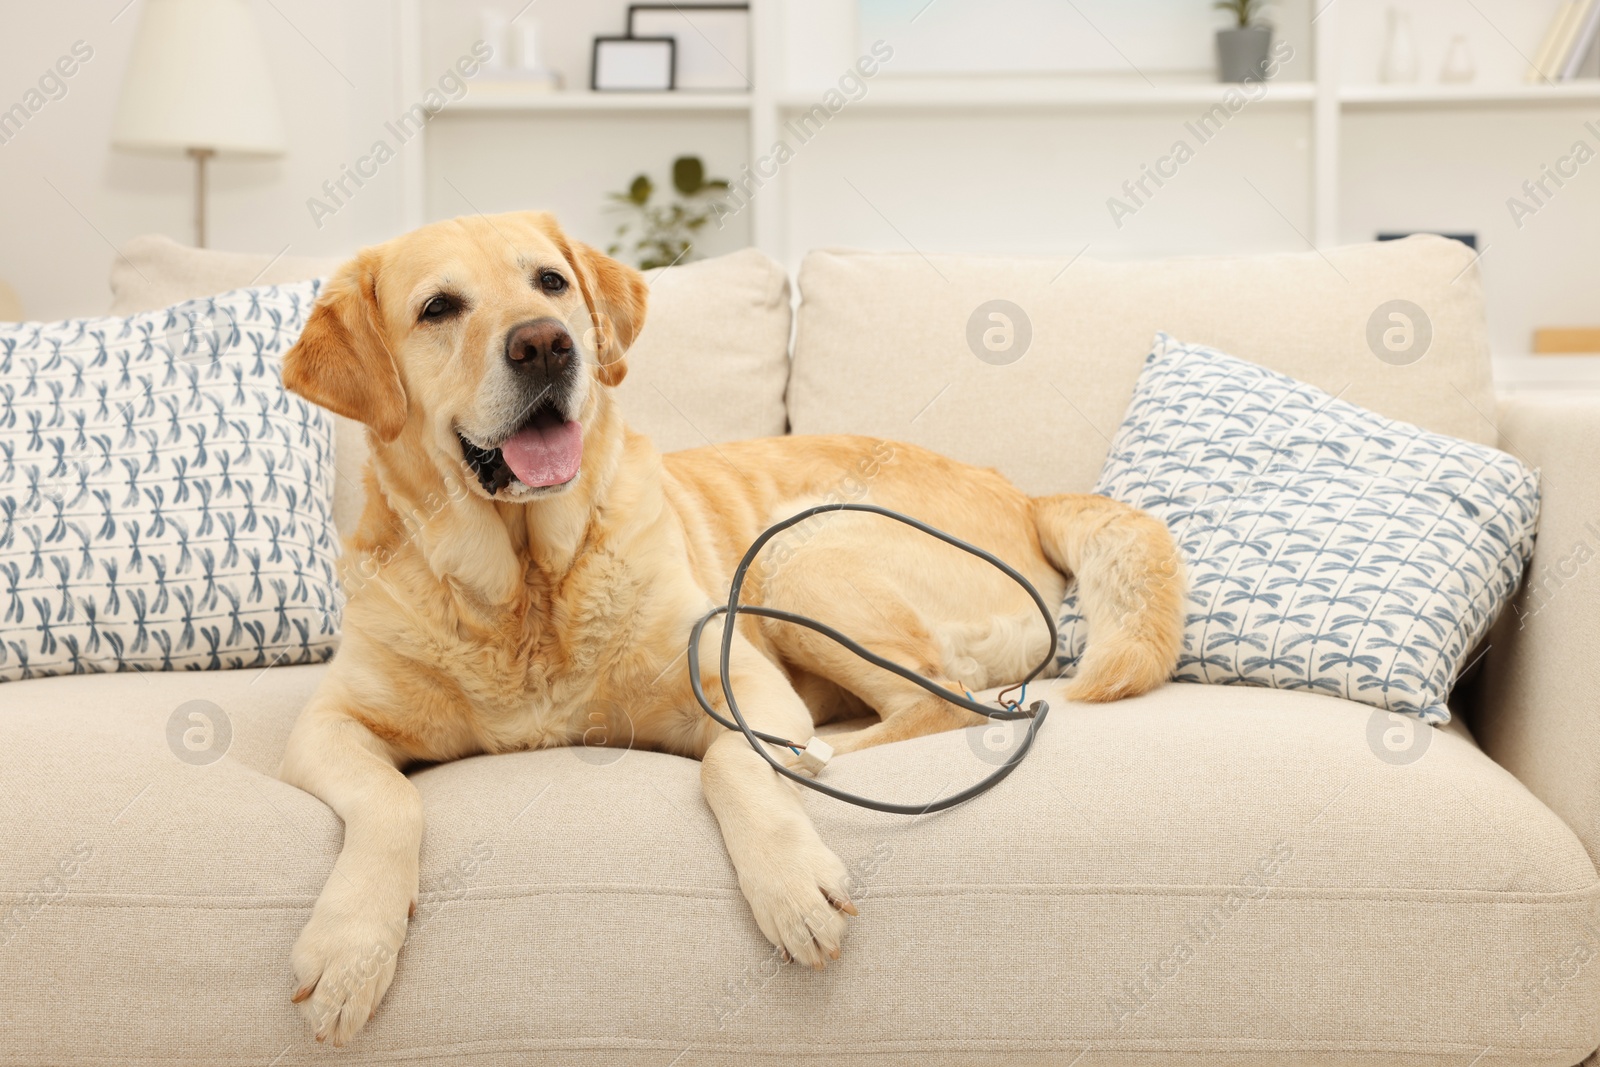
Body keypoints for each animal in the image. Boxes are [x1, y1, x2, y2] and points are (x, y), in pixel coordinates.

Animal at [275, 211, 1184, 1043]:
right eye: (438, 307)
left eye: (550, 283)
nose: (546, 345)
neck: (528, 583)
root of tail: (1023, 494)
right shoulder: (328, 724)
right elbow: (391, 799)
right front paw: (352, 947)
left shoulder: (738, 679)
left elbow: (731, 761)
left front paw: (790, 882)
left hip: (797, 546)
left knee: (940, 700)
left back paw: (825, 753)